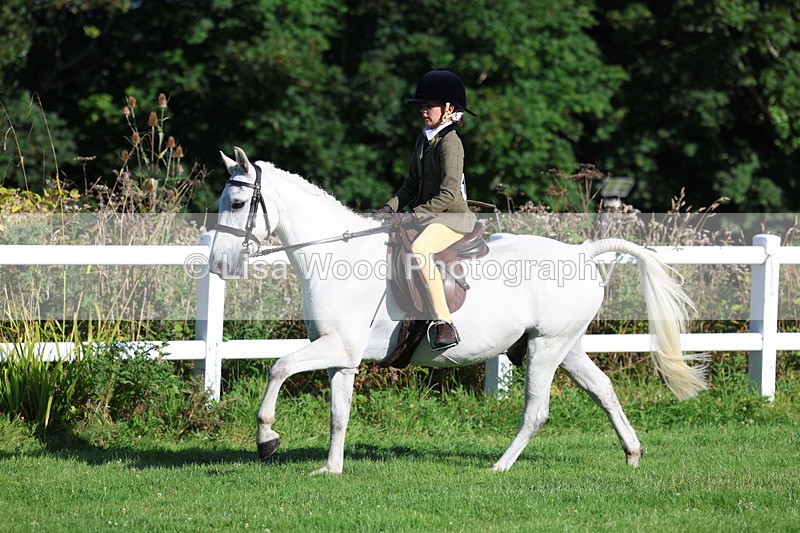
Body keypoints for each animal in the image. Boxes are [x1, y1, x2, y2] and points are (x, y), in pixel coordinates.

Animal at [209, 146, 707, 474]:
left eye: (238, 202)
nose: (217, 266)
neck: (336, 257)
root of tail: (582, 252)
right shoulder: (341, 356)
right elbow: (338, 414)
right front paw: (331, 470)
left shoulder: (336, 348)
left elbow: (277, 367)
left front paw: (267, 440)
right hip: (565, 346)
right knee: (603, 389)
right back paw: (632, 454)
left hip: (547, 348)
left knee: (537, 411)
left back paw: (499, 467)